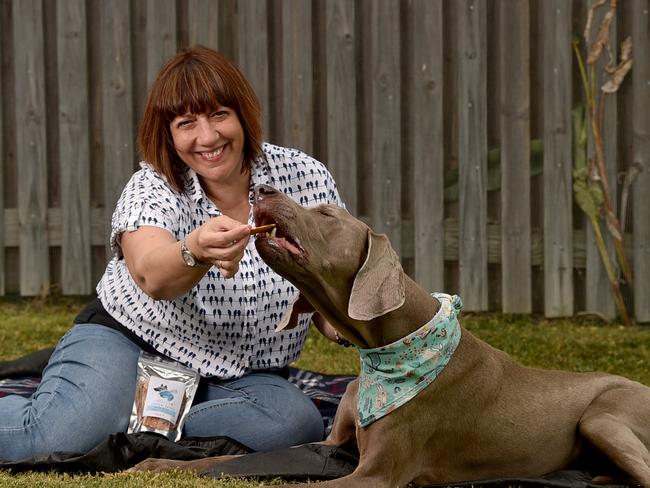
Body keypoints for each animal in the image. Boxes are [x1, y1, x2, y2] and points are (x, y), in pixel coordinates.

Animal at [132, 185, 648, 486]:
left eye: (327, 214)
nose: (260, 187)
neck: (386, 349)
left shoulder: (376, 476)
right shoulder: (330, 447)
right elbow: (238, 460)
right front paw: (161, 465)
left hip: (603, 418)